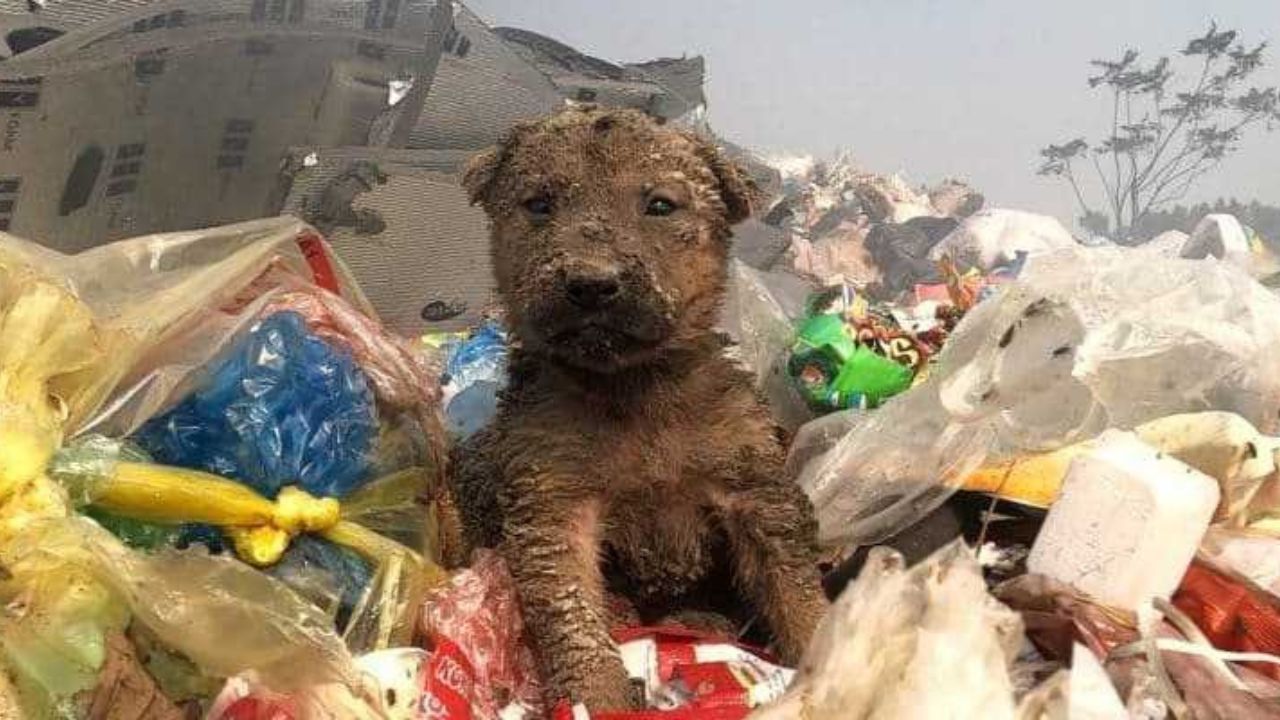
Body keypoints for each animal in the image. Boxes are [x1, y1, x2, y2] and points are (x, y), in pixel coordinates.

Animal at [455, 106, 824, 707]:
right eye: (539, 203)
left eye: (660, 205)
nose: (590, 283)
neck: (633, 389)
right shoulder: (554, 500)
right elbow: (573, 614)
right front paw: (596, 697)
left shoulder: (752, 486)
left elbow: (792, 585)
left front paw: (831, 644)